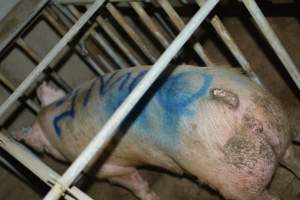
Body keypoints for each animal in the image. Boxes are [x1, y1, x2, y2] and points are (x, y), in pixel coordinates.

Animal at [11, 65, 300, 200]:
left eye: (43, 146)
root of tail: (230, 102)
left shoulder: (109, 167)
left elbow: (135, 183)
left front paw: (151, 196)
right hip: (271, 115)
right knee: (291, 156)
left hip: (232, 176)